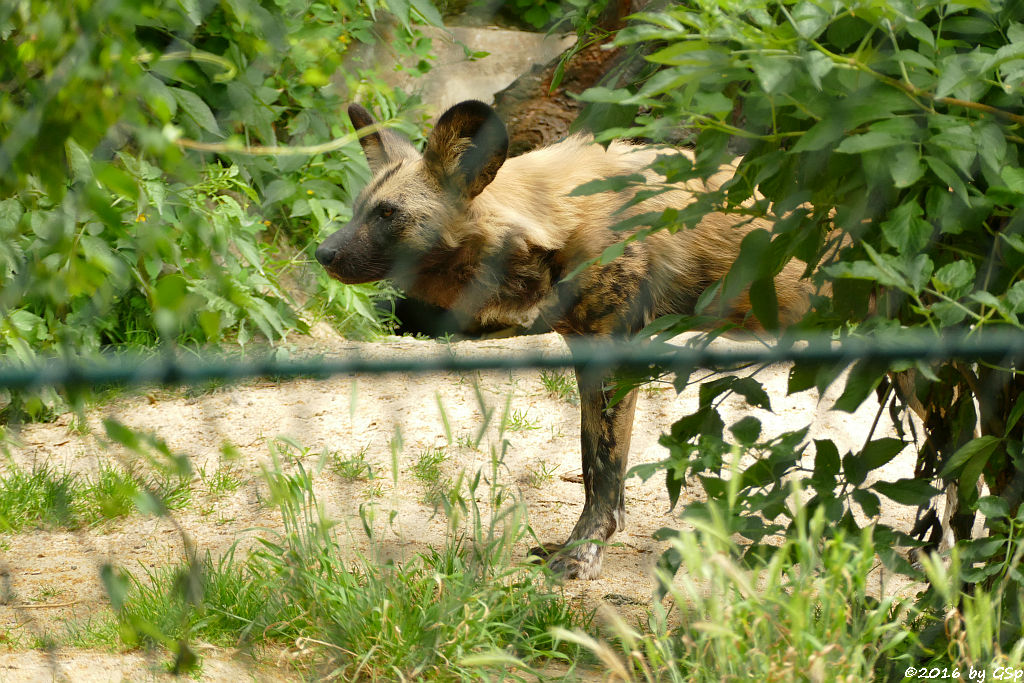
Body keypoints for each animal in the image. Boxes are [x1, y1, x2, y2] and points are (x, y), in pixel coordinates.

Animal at [315, 101, 811, 581]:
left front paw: (582, 555)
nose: (323, 253)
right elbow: (593, 466)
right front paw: (578, 543)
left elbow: (606, 469)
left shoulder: (616, 359)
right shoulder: (588, 357)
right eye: (360, 209)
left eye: (387, 213)